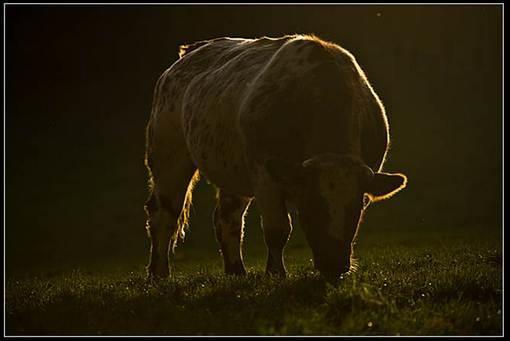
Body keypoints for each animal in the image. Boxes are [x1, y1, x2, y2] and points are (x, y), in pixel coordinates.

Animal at [143, 33, 406, 280]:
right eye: (312, 206)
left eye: (356, 209)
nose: (334, 265)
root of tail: (189, 53)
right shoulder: (264, 174)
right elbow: (277, 230)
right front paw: (276, 273)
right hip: (169, 155)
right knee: (164, 214)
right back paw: (158, 273)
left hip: (231, 166)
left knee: (227, 219)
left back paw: (236, 271)